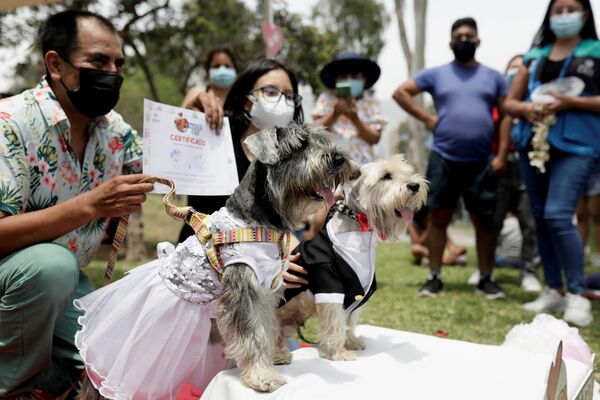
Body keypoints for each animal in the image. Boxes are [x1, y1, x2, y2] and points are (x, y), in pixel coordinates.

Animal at [77, 122, 354, 400]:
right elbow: (251, 335)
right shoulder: (243, 291)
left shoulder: (264, 294)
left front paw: (274, 357)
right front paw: (262, 377)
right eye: (299, 145)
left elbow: (267, 328)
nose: (339, 159)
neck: (260, 223)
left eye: (322, 140)